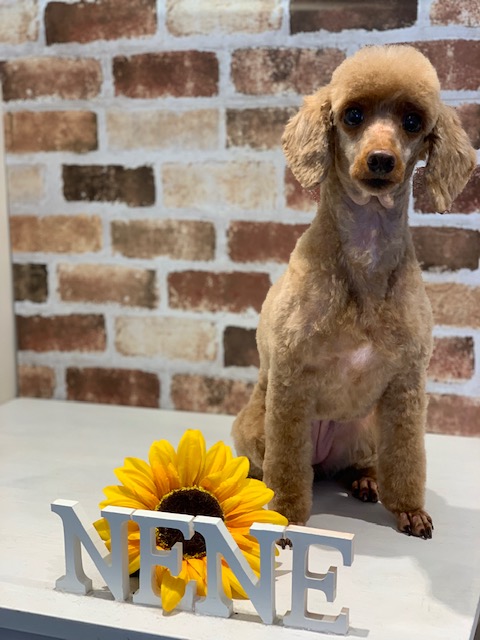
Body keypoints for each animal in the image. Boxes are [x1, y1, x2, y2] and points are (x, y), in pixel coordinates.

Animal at [232, 45, 476, 539]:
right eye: (353, 115)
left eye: (412, 121)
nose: (381, 159)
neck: (365, 252)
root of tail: (323, 460)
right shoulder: (289, 380)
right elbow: (286, 469)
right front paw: (286, 516)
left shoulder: (406, 385)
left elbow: (407, 457)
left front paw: (409, 510)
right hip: (255, 426)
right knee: (272, 465)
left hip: (363, 428)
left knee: (360, 463)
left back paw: (365, 480)